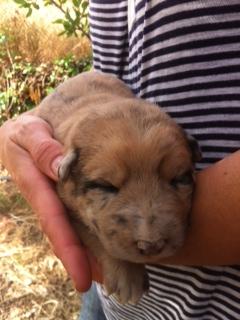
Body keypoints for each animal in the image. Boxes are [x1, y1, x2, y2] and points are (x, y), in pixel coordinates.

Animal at [32, 71, 201, 304]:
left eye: (180, 179)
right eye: (105, 186)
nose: (152, 246)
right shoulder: (68, 206)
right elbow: (96, 237)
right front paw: (127, 276)